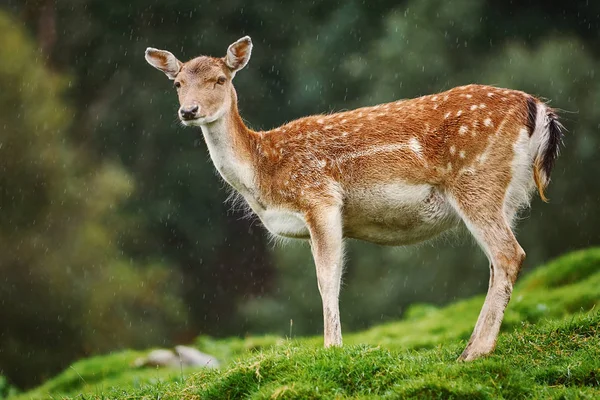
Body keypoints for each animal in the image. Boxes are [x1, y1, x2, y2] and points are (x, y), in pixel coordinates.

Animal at [144, 36, 564, 360]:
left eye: (219, 78)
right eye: (177, 83)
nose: (189, 110)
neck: (264, 175)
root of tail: (539, 109)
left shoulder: (320, 197)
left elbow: (326, 278)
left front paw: (332, 348)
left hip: (476, 181)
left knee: (509, 254)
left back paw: (476, 351)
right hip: (507, 195)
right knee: (498, 260)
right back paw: (471, 347)